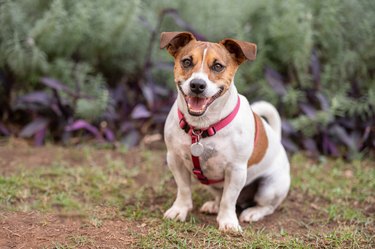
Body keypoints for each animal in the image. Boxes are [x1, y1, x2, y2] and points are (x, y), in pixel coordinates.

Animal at [160, 32, 292, 232]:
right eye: (187, 62)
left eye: (217, 66)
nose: (197, 85)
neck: (201, 127)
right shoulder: (175, 159)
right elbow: (183, 189)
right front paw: (179, 210)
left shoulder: (236, 170)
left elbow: (229, 199)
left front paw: (228, 221)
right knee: (219, 195)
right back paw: (214, 205)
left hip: (269, 188)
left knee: (267, 206)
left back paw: (253, 213)